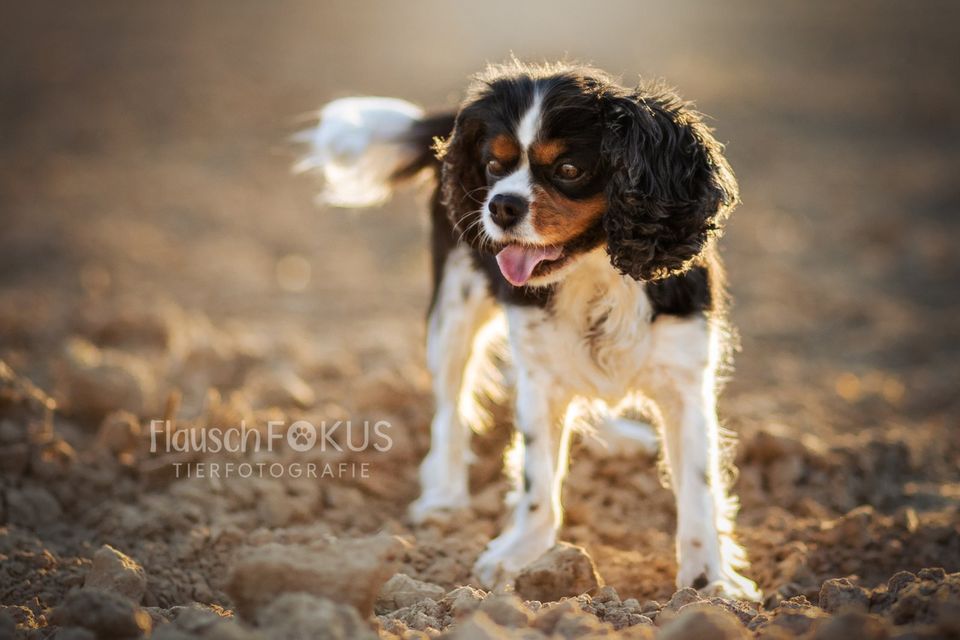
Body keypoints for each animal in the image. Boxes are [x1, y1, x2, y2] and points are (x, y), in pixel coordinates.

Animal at [296, 61, 760, 600]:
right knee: (449, 411)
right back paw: (443, 498)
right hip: (452, 314)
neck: (595, 272)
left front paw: (710, 583)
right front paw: (521, 555)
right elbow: (538, 479)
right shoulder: (540, 380)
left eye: (569, 170)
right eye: (493, 165)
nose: (500, 206)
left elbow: (699, 490)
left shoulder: (686, 382)